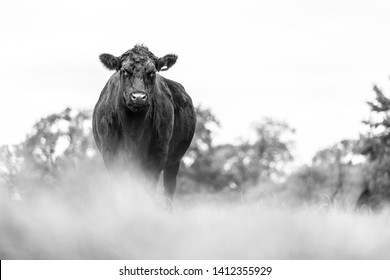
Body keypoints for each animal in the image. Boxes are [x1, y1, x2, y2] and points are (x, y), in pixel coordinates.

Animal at [93, 45, 197, 203]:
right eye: (124, 70)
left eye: (152, 72)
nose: (138, 97)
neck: (133, 130)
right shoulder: (110, 155)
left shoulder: (157, 157)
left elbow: (149, 191)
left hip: (174, 162)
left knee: (169, 190)